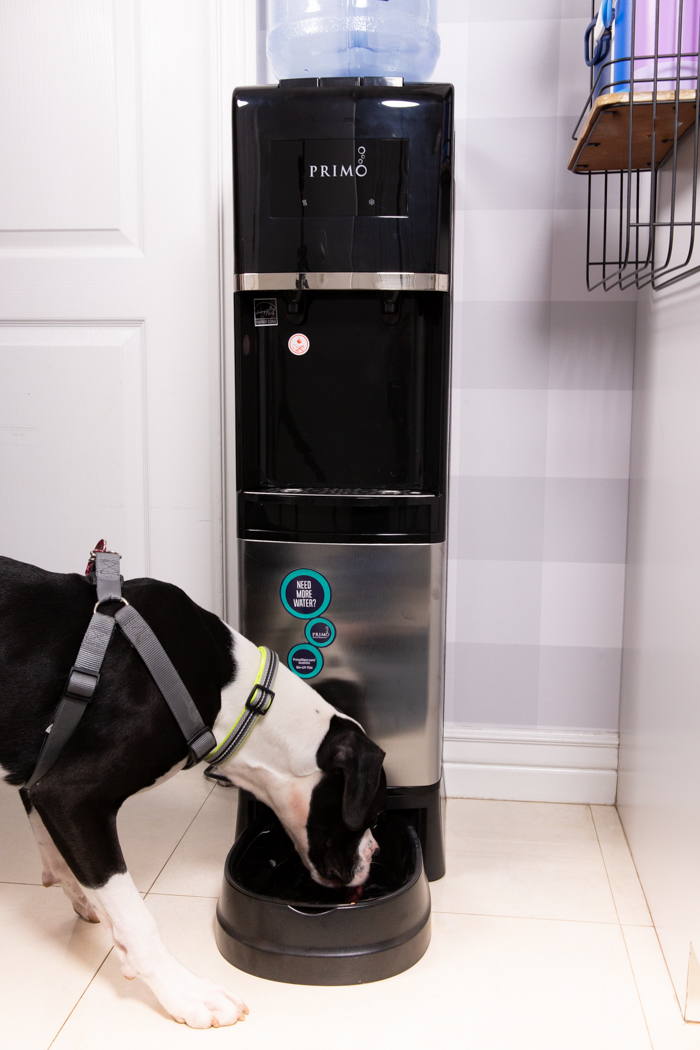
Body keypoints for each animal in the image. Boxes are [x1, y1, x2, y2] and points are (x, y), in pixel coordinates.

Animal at [0, 554, 386, 1029]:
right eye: (373, 814)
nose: (376, 851)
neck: (242, 701)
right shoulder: (70, 796)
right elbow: (135, 916)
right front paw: (188, 994)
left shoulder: (40, 774)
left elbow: (58, 853)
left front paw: (84, 899)